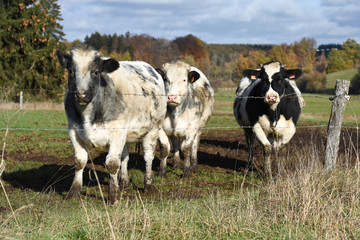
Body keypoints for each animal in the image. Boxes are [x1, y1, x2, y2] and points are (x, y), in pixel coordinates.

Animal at [57, 43, 167, 202]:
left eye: (96, 72)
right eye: (71, 71)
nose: (81, 95)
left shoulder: (117, 132)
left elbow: (112, 164)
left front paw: (113, 196)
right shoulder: (73, 131)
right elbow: (79, 161)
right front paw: (73, 192)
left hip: (153, 128)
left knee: (148, 156)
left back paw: (148, 185)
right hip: (127, 134)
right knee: (125, 158)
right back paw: (124, 183)